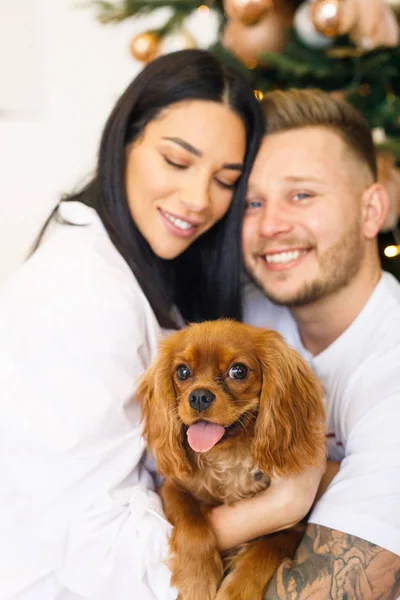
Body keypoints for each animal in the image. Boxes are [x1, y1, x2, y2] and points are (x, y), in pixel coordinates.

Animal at [137, 322, 324, 596]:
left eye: (238, 371)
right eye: (182, 372)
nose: (199, 396)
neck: (229, 458)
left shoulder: (295, 527)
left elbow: (267, 549)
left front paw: (237, 591)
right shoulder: (172, 488)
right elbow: (191, 520)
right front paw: (197, 580)